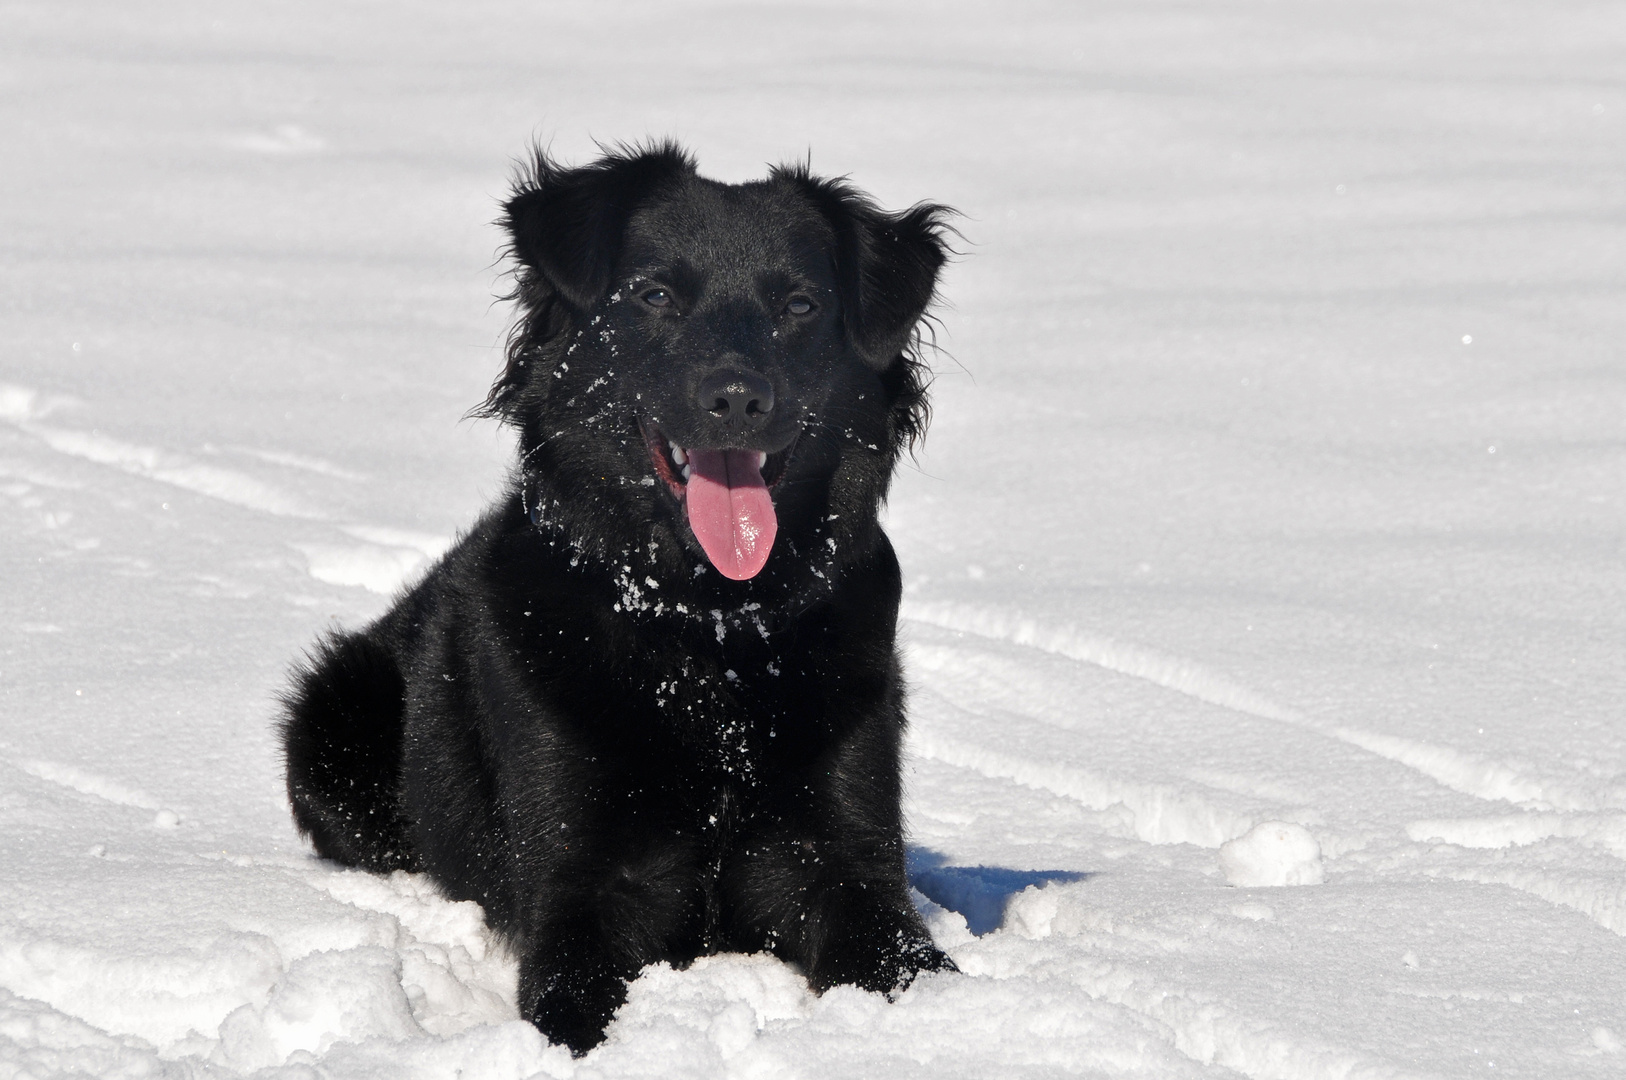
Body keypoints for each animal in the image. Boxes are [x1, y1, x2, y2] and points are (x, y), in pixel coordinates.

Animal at [282, 143, 949, 1053]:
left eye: (800, 305)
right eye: (655, 295)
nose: (738, 399)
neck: (709, 636)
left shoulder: (847, 863)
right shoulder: (586, 889)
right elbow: (572, 1005)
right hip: (330, 729)